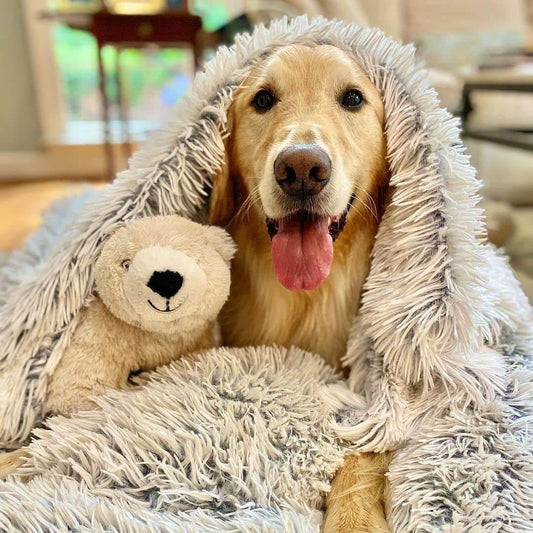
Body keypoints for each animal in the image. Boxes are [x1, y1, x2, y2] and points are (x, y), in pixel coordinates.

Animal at [209, 43, 390, 528]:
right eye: (263, 99)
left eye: (353, 98)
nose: (302, 168)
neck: (305, 296)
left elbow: (363, 445)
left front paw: (354, 521)